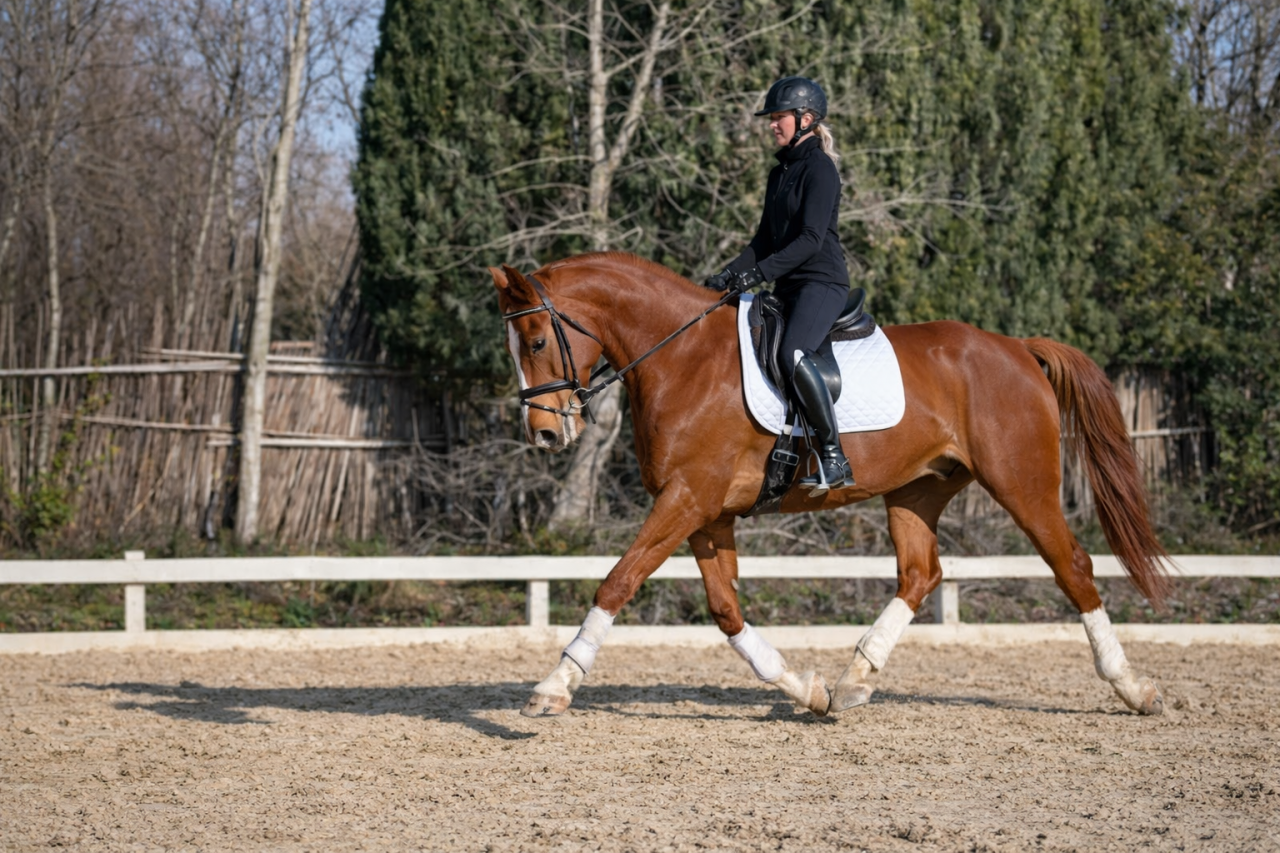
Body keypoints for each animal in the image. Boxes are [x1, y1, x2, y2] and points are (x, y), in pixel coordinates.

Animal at [490, 252, 1170, 719]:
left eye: (537, 340)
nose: (544, 434)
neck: (680, 358)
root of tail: (1016, 349)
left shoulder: (686, 500)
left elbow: (618, 580)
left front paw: (553, 687)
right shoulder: (706, 512)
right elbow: (726, 609)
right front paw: (805, 690)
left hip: (1021, 483)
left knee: (1072, 565)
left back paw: (1134, 688)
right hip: (916, 490)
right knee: (920, 575)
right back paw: (854, 681)